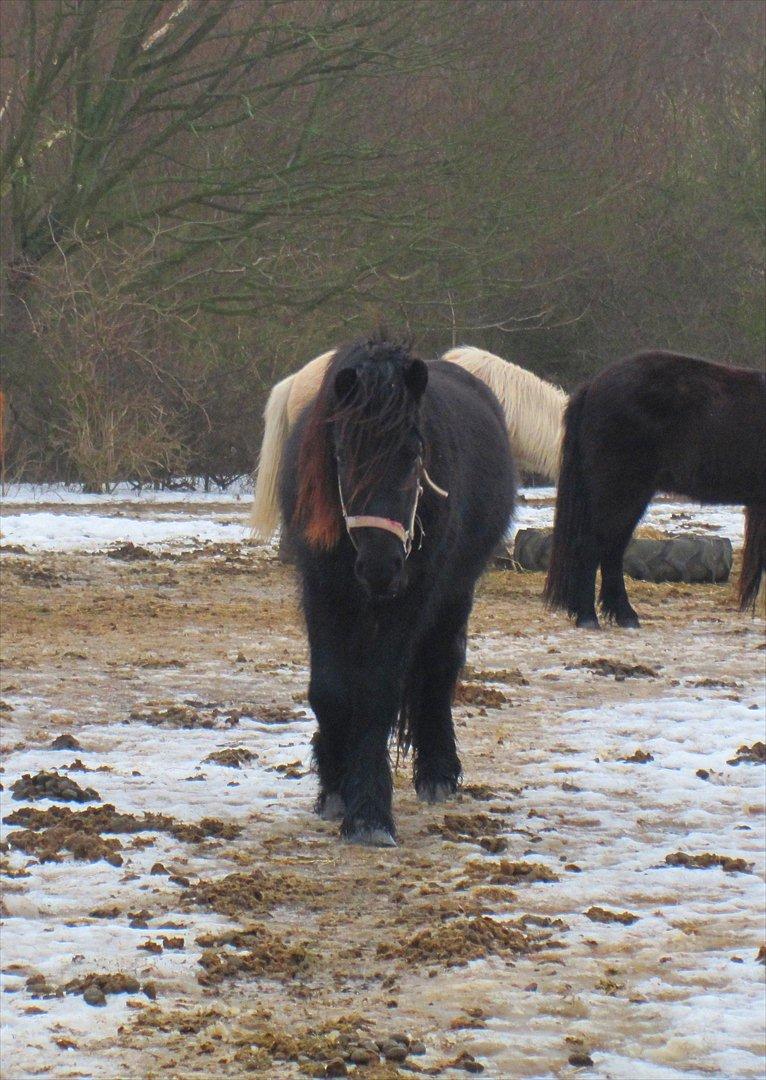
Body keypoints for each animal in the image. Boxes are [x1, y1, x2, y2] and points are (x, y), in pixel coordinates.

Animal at [280, 335, 515, 846]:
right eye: (342, 454)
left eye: (413, 454)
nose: (381, 566)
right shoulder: (322, 590)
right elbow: (329, 691)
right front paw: (335, 788)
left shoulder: (410, 599)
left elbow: (378, 693)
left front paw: (369, 813)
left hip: (453, 594)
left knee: (440, 669)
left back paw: (438, 774)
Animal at [543, 351, 766, 629]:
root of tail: (593, 384)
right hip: (621, 492)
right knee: (592, 546)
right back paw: (588, 618)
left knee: (611, 550)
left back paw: (624, 616)